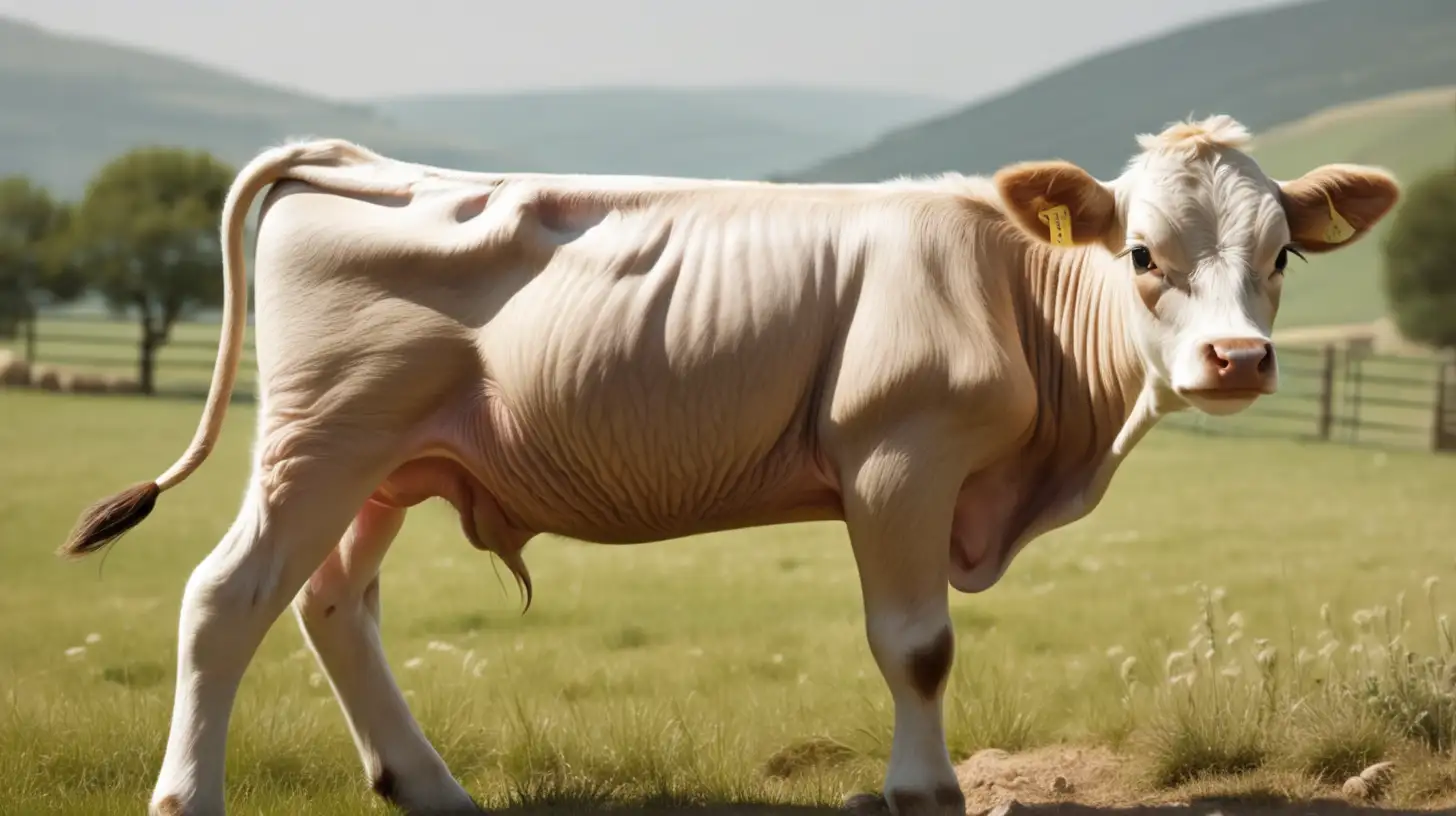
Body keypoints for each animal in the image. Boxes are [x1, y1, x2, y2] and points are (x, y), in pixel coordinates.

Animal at [59, 116, 1397, 816]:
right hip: (320, 440)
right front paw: (926, 791)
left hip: (388, 461)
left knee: (332, 601)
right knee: (228, 597)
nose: (1238, 358)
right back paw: (189, 799)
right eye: (1139, 252)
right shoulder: (898, 461)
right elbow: (919, 648)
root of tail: (363, 164)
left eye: (1281, 254)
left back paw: (428, 787)